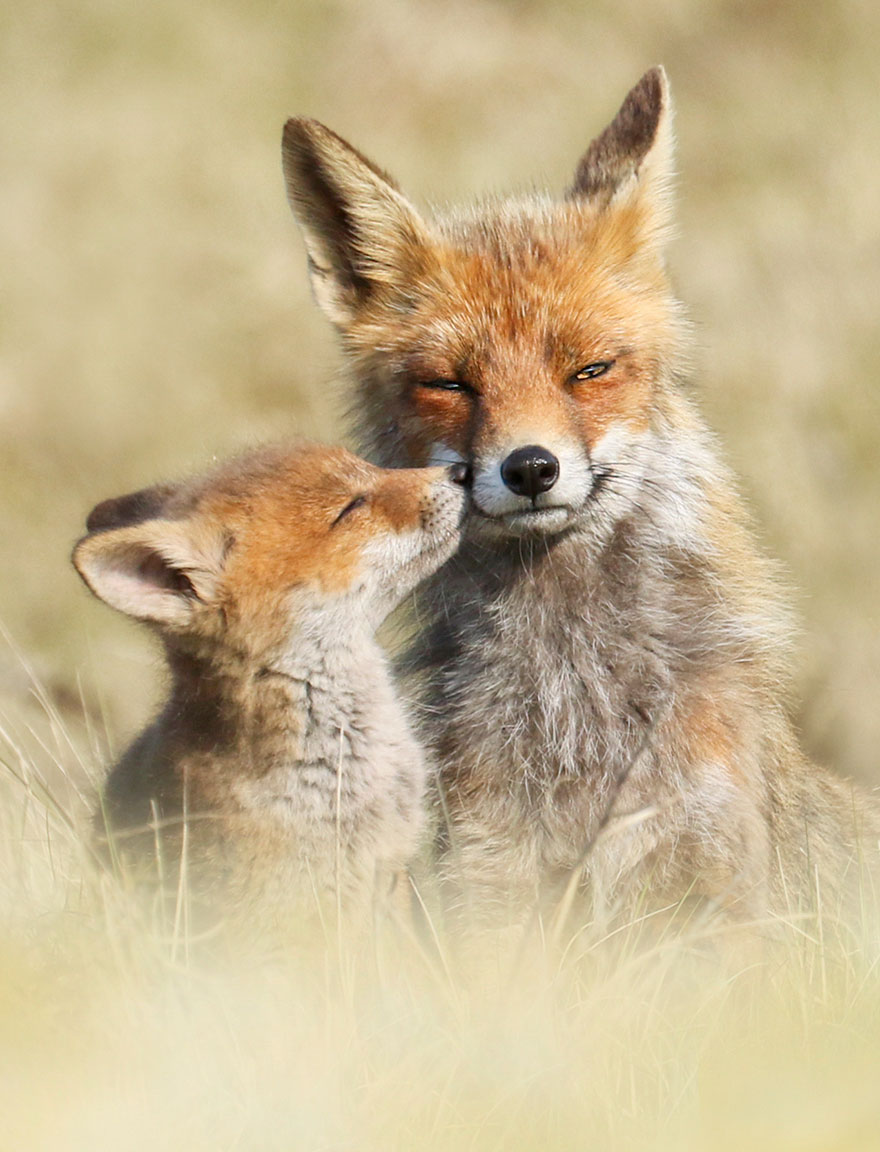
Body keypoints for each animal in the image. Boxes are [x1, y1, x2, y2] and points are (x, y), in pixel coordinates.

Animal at [282, 69, 880, 935]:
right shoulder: (488, 872)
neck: (572, 697)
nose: (531, 468)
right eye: (450, 384)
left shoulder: (708, 874)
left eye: (589, 370)